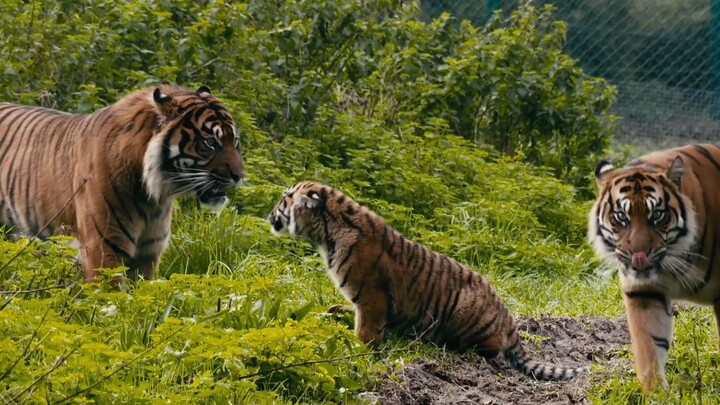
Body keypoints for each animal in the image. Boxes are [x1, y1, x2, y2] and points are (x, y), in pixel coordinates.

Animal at [0, 84, 245, 280]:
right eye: (210, 142)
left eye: (235, 141)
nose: (240, 175)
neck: (152, 196)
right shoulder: (101, 250)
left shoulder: (147, 254)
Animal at [268, 181, 588, 380]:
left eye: (284, 199)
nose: (269, 215)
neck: (325, 234)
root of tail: (507, 317)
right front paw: (333, 315)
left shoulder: (372, 298)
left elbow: (365, 333)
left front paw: (358, 352)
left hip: (465, 314)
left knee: (490, 349)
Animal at [588, 144, 720, 390]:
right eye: (621, 216)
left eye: (657, 215)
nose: (639, 256)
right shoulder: (645, 291)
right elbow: (648, 345)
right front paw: (657, 391)